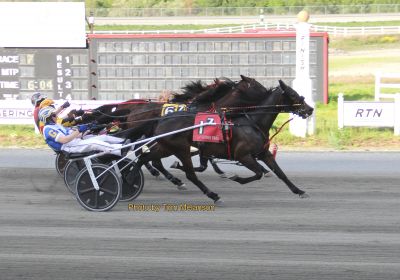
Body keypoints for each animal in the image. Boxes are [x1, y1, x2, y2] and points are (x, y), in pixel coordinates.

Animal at [126, 79, 314, 203]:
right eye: (292, 94)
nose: (310, 109)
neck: (252, 122)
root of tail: (160, 120)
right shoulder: (242, 156)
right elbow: (258, 173)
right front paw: (236, 178)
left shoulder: (263, 153)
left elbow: (280, 173)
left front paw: (299, 191)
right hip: (180, 149)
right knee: (189, 174)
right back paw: (212, 195)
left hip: (166, 147)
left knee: (145, 158)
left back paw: (131, 178)